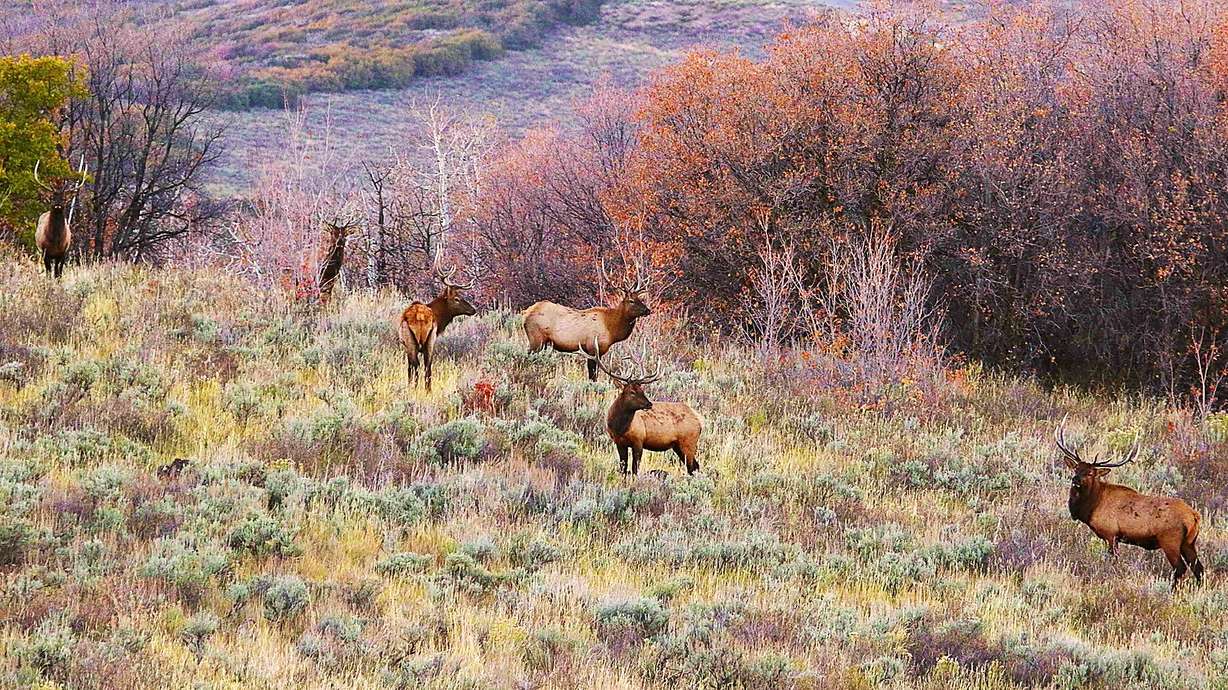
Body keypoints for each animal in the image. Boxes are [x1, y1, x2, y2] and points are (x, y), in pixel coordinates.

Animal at [522, 266, 651, 381]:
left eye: (640, 299)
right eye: (631, 301)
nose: (648, 310)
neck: (611, 329)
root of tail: (526, 313)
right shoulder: (592, 348)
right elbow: (592, 376)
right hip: (536, 340)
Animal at [585, 342, 702, 476]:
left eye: (642, 390)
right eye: (632, 392)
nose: (649, 404)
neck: (620, 428)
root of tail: (700, 420)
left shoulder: (639, 441)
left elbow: (635, 469)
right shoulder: (619, 443)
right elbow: (623, 468)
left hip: (688, 442)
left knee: (693, 467)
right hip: (678, 446)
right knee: (694, 467)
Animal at [1055, 422, 1204, 589]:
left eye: (1091, 473)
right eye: (1076, 468)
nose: (1075, 479)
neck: (1091, 507)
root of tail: (1194, 517)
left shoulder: (1110, 534)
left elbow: (1113, 560)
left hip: (1170, 540)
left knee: (1180, 568)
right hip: (1189, 543)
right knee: (1198, 568)